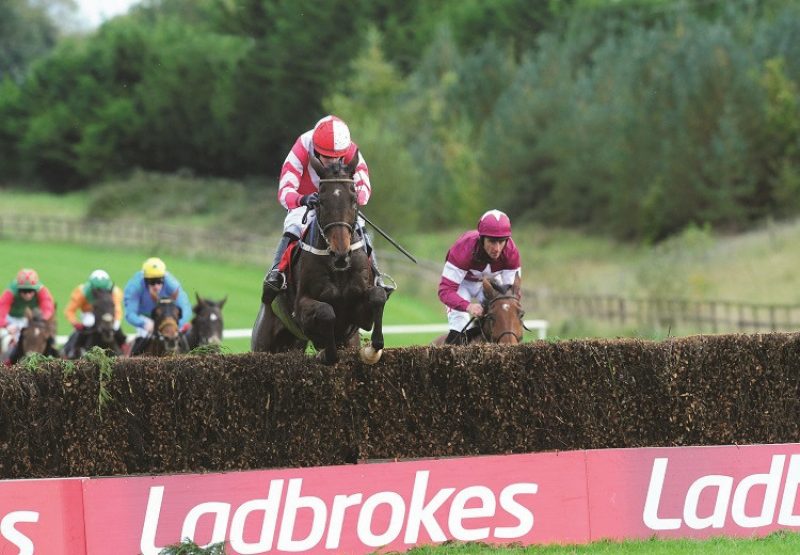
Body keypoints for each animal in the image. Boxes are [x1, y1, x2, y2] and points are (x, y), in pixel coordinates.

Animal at [250, 151, 388, 364]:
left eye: (354, 198)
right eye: (321, 201)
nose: (341, 254)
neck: (338, 269)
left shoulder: (358, 317)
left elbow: (378, 296)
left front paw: (373, 349)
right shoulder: (301, 311)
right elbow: (326, 311)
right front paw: (326, 352)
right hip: (264, 341)